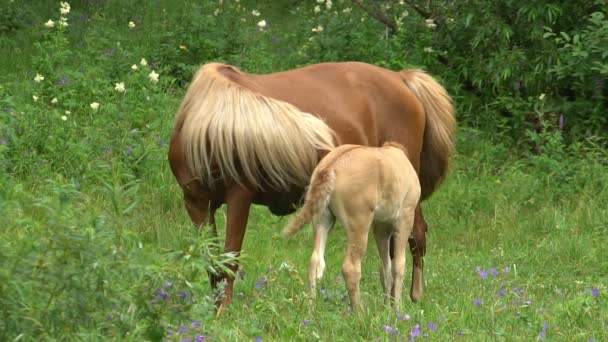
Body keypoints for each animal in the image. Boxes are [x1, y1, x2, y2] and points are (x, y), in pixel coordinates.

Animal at [282, 142, 420, 310]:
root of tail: (330, 166)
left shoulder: (380, 226)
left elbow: (385, 268)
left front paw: (386, 308)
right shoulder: (405, 217)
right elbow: (398, 266)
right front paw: (396, 310)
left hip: (322, 219)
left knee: (315, 262)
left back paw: (311, 308)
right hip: (359, 223)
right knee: (351, 268)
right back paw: (359, 311)